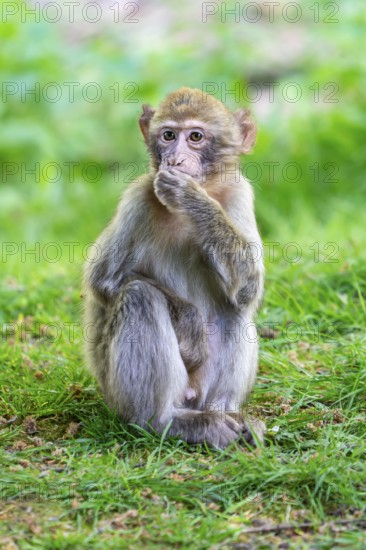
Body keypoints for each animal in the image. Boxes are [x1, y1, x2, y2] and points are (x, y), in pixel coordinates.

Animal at [83, 85, 264, 448]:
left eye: (195, 137)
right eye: (168, 136)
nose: (175, 159)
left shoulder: (239, 192)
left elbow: (249, 288)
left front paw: (193, 200)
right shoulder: (138, 199)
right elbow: (105, 282)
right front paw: (192, 324)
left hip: (200, 390)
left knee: (234, 308)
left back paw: (226, 413)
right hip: (118, 393)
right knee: (139, 295)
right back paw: (167, 422)